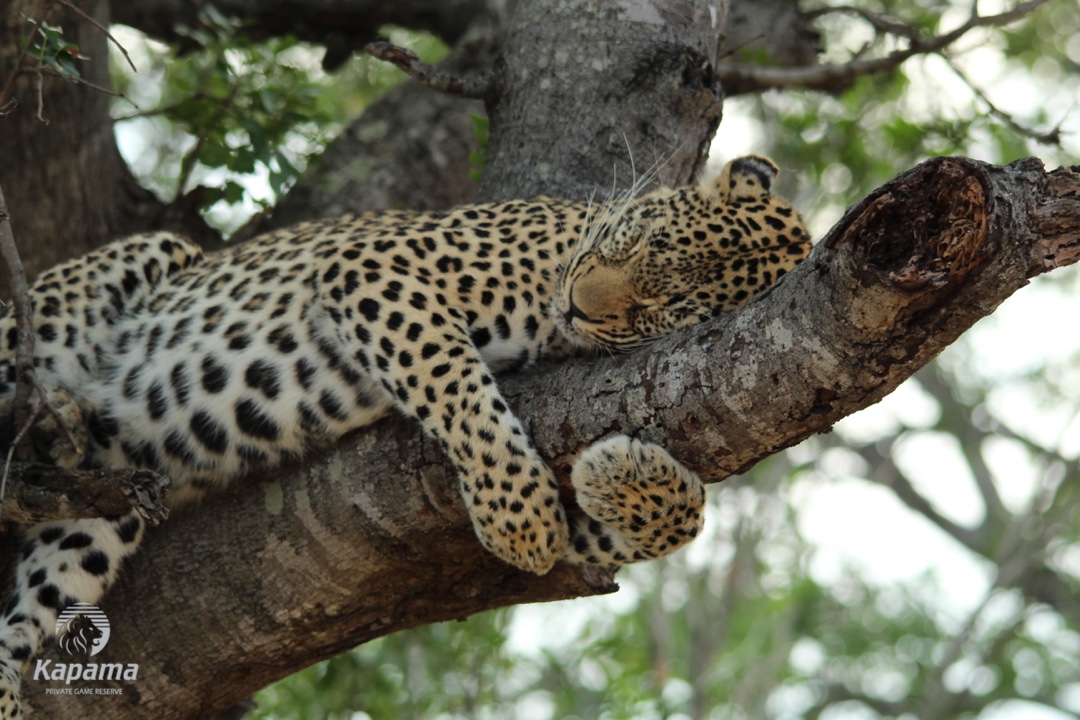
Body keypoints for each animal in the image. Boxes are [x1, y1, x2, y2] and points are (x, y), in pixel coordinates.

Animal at [0, 154, 809, 716]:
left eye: (662, 313)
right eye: (637, 243)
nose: (580, 305)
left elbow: (674, 523)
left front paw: (619, 476)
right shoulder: (377, 269)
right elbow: (453, 378)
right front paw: (519, 520)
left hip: (100, 507)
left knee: (23, 610)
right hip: (122, 273)